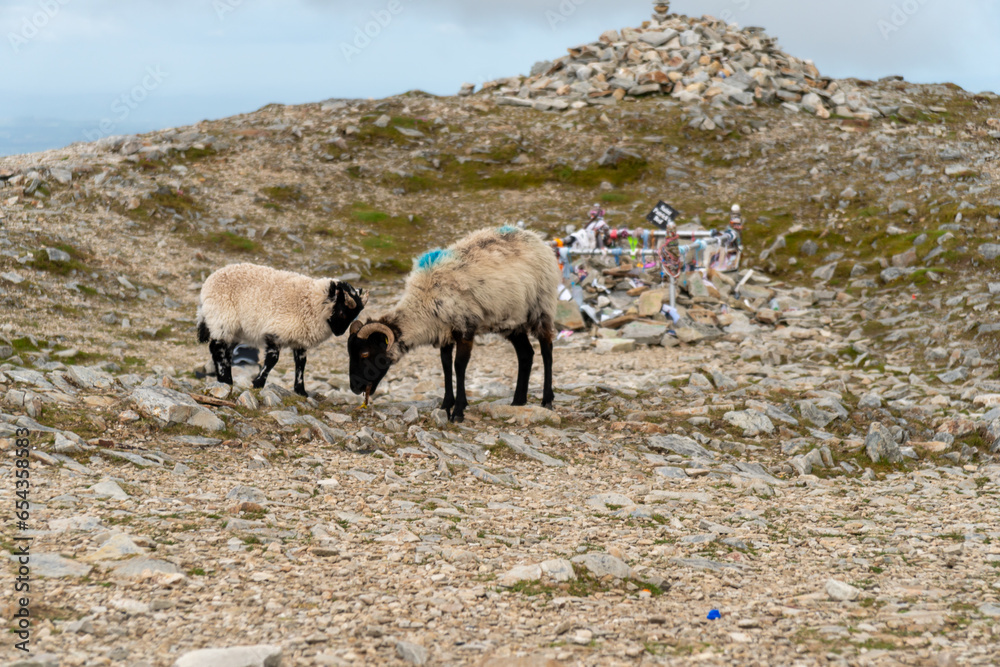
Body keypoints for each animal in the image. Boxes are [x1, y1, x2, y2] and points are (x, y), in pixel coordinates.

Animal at [197, 263, 367, 396]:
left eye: (354, 316)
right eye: (342, 312)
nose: (339, 333)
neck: (311, 302)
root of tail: (208, 282)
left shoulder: (300, 340)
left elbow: (301, 364)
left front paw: (301, 391)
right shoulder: (276, 332)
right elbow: (272, 360)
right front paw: (258, 383)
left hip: (235, 329)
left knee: (225, 352)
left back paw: (225, 380)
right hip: (223, 319)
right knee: (217, 348)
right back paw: (225, 380)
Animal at [347, 226, 560, 423]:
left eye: (365, 353)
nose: (355, 388)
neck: (424, 301)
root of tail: (536, 238)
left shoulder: (465, 329)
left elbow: (459, 366)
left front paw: (458, 411)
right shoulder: (444, 332)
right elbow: (446, 364)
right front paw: (446, 404)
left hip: (541, 307)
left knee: (547, 350)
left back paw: (547, 400)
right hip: (512, 321)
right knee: (526, 354)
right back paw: (518, 401)